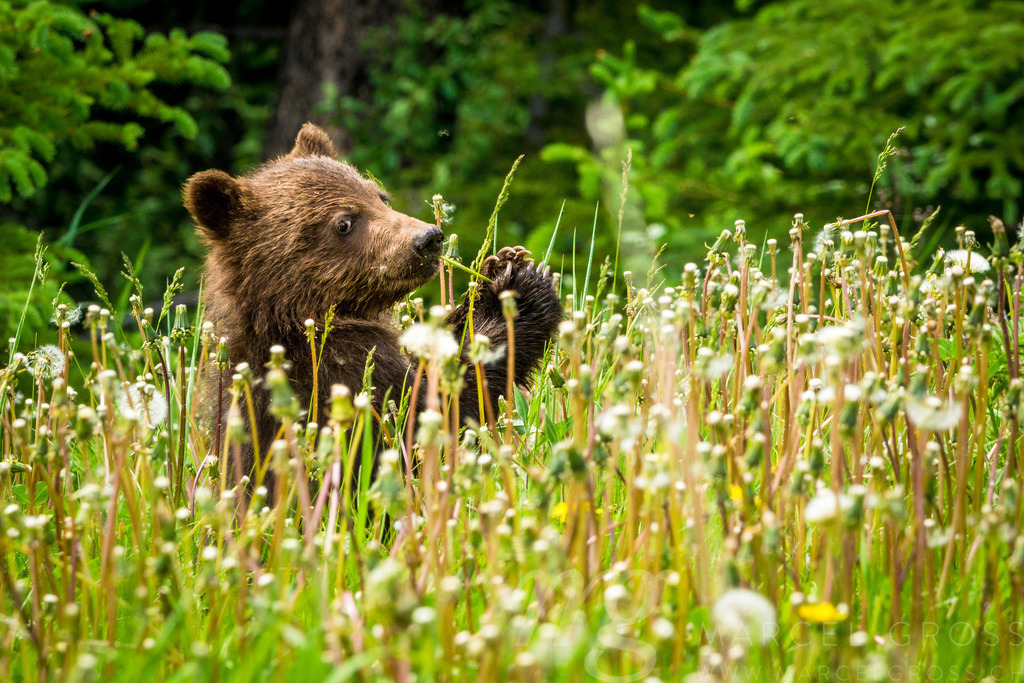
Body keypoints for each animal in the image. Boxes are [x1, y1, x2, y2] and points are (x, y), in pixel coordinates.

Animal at [185, 123, 562, 502]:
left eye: (380, 196)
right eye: (344, 222)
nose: (428, 238)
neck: (289, 319)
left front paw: (499, 267)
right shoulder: (341, 379)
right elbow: (435, 415)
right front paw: (517, 290)